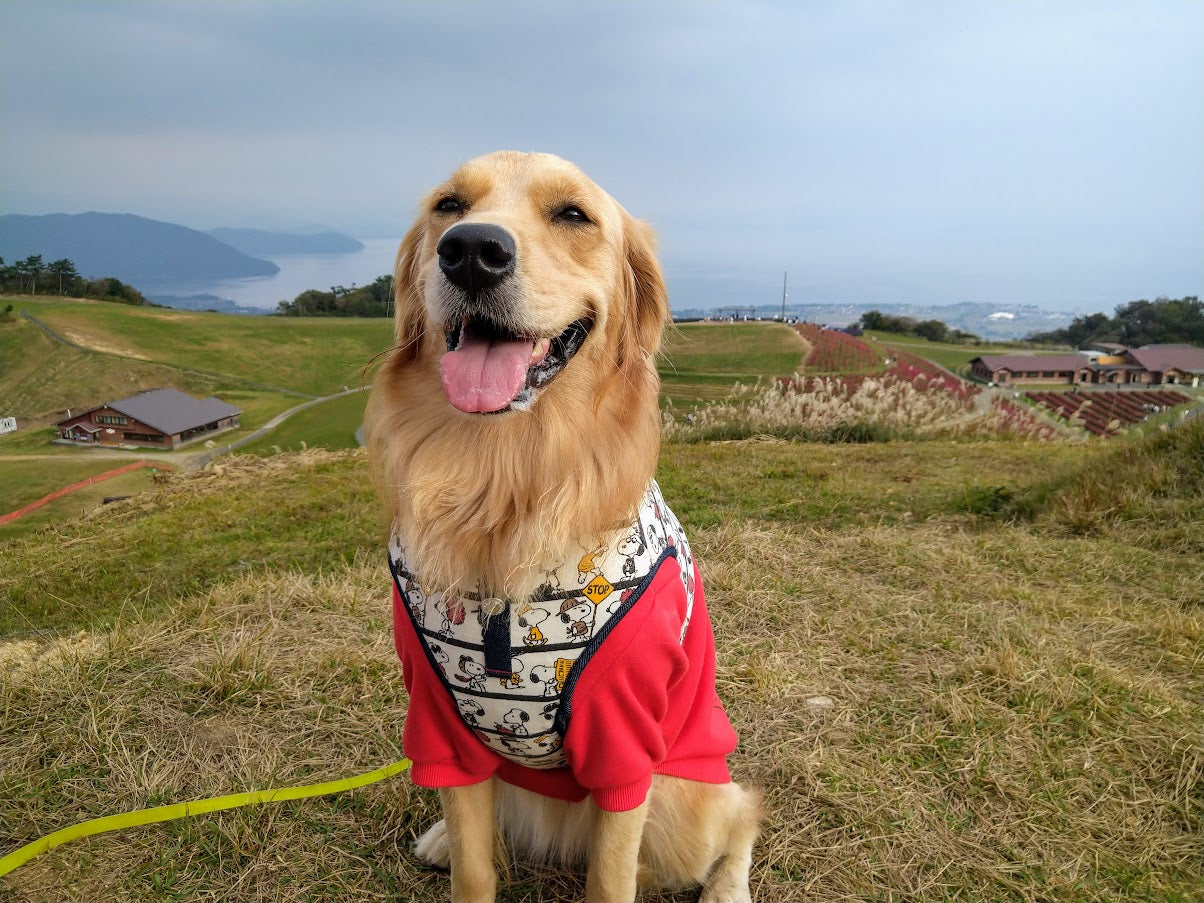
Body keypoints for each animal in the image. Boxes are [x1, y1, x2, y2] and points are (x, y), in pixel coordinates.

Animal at [366, 152, 756, 900]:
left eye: (573, 214)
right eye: (449, 205)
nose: (471, 251)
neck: (505, 481)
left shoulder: (624, 745)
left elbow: (610, 878)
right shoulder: (438, 725)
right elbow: (474, 868)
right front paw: (457, 849)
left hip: (683, 802)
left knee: (741, 814)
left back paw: (728, 886)